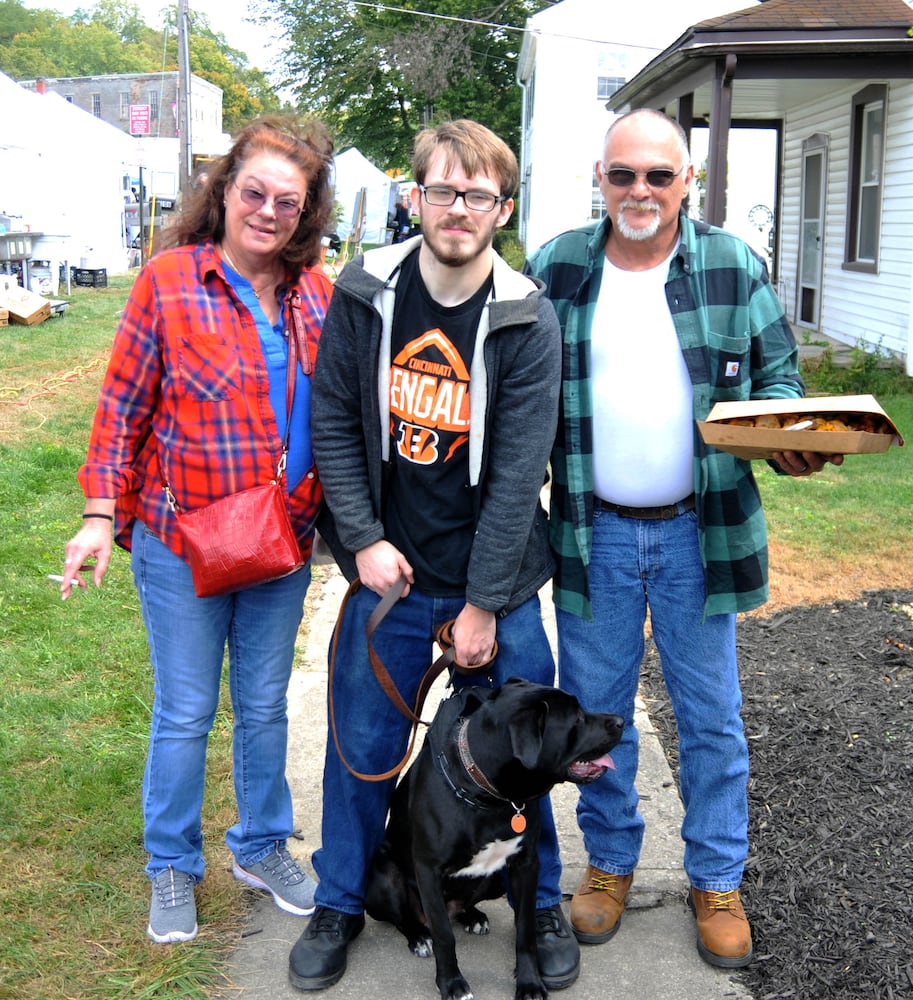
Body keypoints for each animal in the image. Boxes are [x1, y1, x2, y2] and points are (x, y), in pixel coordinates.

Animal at [366, 676, 624, 1000]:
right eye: (575, 718)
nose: (621, 721)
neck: (488, 795)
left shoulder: (525, 864)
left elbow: (525, 929)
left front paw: (529, 983)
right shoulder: (428, 870)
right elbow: (443, 936)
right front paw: (451, 984)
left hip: (496, 881)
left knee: (460, 907)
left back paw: (472, 916)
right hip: (382, 878)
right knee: (404, 918)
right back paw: (419, 936)